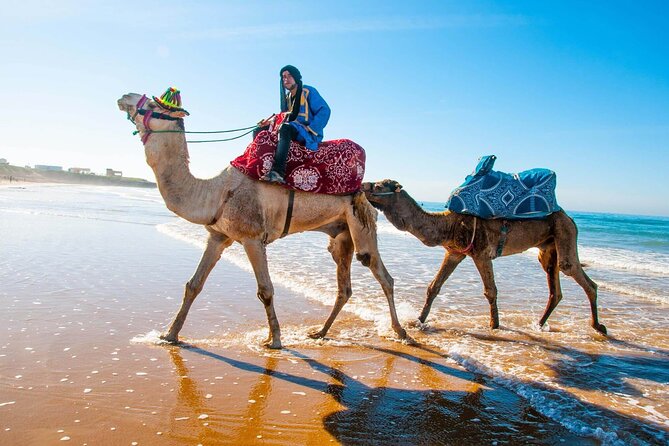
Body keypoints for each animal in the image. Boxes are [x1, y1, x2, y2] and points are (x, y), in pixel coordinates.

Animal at [117, 92, 406, 348]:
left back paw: (401, 333)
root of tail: (367, 188)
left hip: (362, 222)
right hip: (341, 232)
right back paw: (320, 332)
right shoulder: (218, 236)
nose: (124, 97)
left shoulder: (252, 237)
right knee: (344, 286)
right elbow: (193, 285)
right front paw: (169, 335)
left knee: (380, 272)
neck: (217, 191)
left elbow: (265, 289)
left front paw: (275, 340)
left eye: (153, 105)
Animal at [361, 179, 606, 335]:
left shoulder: (481, 252)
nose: (363, 185)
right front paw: (418, 322)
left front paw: (494, 326)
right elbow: (434, 286)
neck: (448, 224)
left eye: (381, 185)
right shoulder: (454, 252)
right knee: (555, 287)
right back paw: (539, 324)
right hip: (548, 247)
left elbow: (491, 291)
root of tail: (569, 217)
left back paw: (598, 327)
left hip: (565, 232)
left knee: (574, 271)